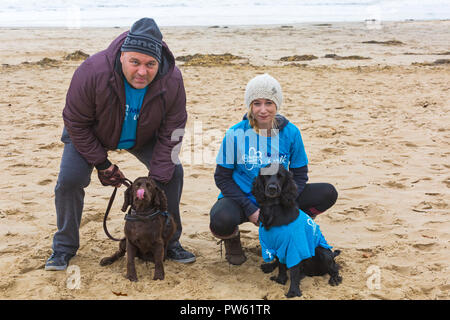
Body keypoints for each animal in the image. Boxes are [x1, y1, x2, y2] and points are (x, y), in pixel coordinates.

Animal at [253, 165, 342, 298]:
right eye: (266, 175)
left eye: (281, 176)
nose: (272, 189)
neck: (273, 208)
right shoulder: (277, 245)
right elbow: (281, 265)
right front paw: (280, 280)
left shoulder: (294, 247)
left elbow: (293, 271)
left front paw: (293, 292)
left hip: (325, 253)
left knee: (334, 267)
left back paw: (335, 278)